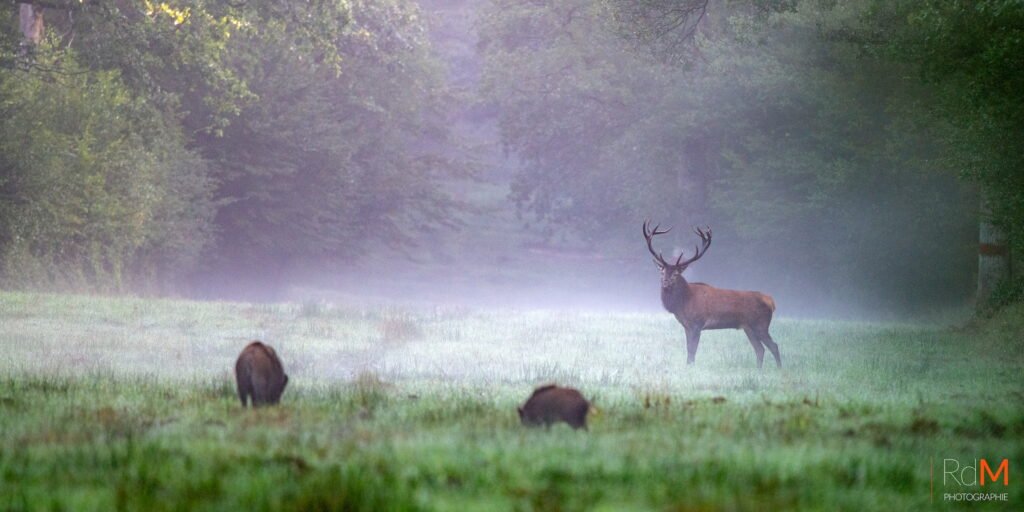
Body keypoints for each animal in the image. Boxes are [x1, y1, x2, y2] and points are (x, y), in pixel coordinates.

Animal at [643, 220, 781, 368]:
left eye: (676, 274)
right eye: (662, 272)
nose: (665, 282)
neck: (683, 303)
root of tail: (770, 301)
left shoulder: (697, 324)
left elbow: (692, 350)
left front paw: (691, 367)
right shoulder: (687, 326)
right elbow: (688, 348)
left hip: (760, 325)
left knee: (774, 346)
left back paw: (779, 369)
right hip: (748, 328)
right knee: (760, 349)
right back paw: (759, 370)